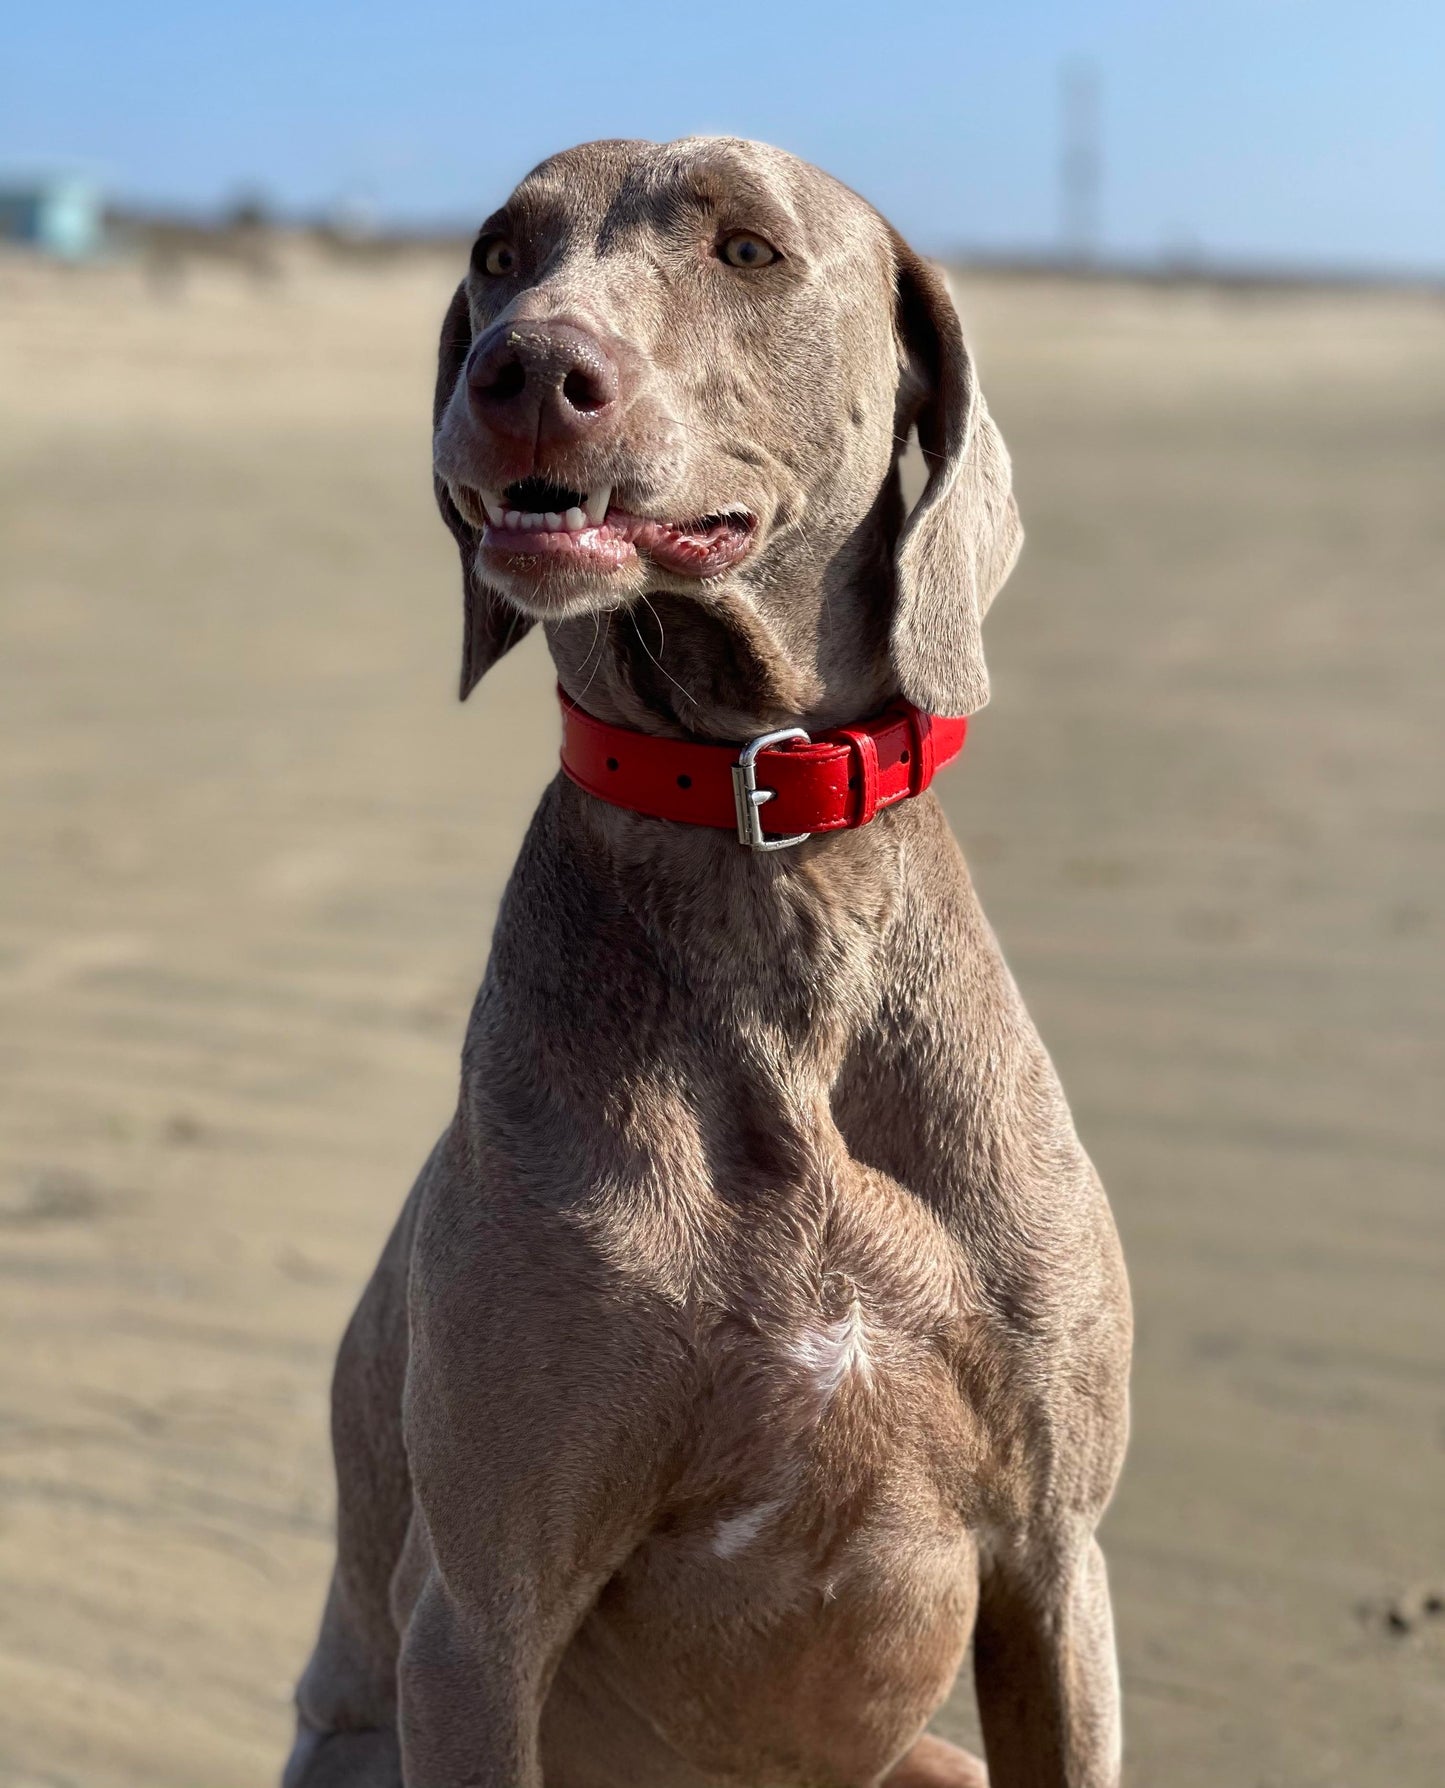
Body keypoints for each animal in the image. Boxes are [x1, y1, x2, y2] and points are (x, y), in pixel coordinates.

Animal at [282, 135, 1137, 1788]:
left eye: (747, 249)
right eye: (500, 251)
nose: (522, 369)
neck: (759, 839)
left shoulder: (1056, 1561)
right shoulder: (474, 1618)